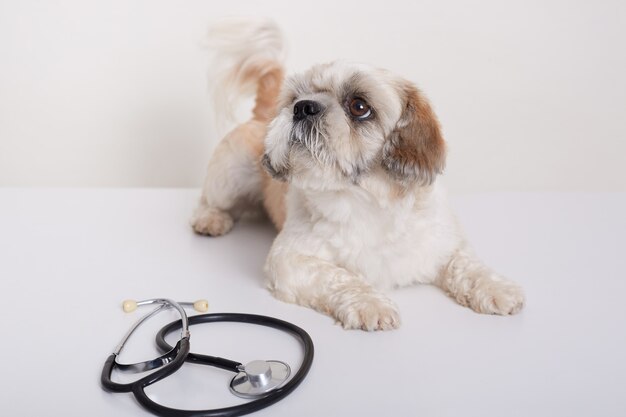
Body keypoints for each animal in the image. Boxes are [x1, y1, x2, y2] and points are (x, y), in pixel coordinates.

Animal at [193, 19, 524, 330]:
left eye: (359, 106)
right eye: (295, 98)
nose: (303, 107)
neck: (367, 201)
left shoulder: (445, 244)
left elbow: (467, 265)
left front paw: (496, 287)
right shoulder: (290, 260)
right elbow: (338, 277)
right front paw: (370, 304)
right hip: (229, 175)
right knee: (209, 200)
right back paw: (212, 219)